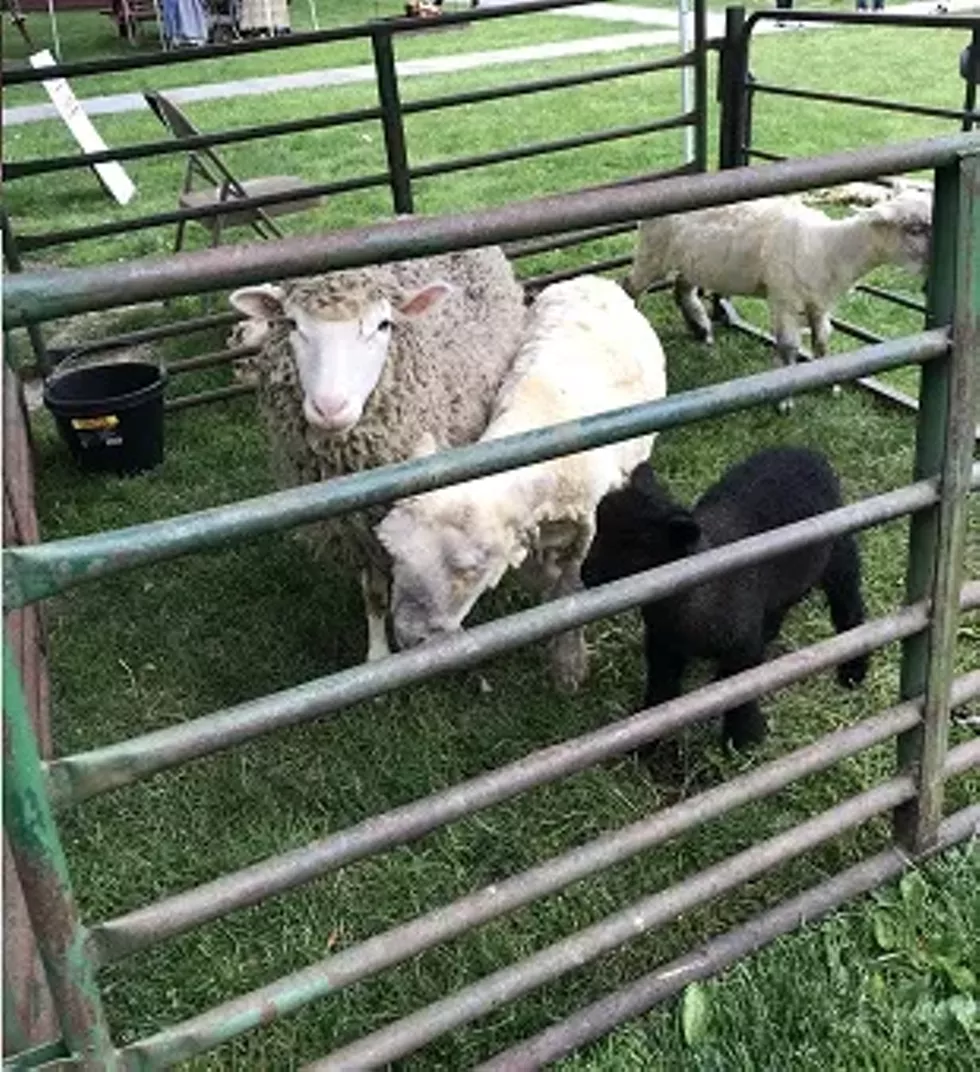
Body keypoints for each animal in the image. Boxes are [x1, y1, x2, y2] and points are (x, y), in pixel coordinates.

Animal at [228, 246, 527, 664]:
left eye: (384, 324)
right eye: (292, 324)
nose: (330, 407)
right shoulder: (356, 529)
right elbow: (373, 593)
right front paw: (378, 655)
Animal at [375, 274, 668, 692]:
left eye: (470, 569)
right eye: (391, 550)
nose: (409, 637)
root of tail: (593, 279)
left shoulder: (585, 528)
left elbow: (569, 587)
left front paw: (568, 663)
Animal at [580, 447, 869, 760]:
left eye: (634, 546)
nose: (585, 573)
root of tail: (807, 452)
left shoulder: (741, 646)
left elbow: (740, 695)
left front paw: (743, 742)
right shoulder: (662, 646)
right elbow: (660, 692)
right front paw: (644, 742)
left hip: (840, 554)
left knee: (848, 606)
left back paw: (853, 671)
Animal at [623, 191, 932, 411]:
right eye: (915, 228)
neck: (828, 247)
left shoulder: (819, 302)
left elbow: (822, 340)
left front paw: (829, 384)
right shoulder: (784, 298)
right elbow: (788, 346)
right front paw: (785, 400)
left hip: (692, 261)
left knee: (682, 290)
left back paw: (701, 329)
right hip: (652, 252)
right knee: (630, 287)